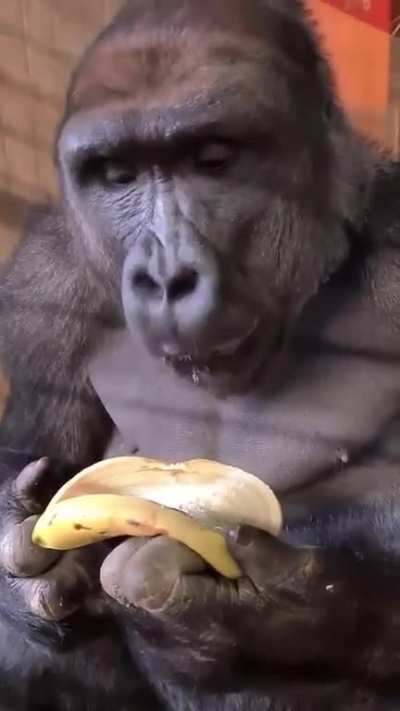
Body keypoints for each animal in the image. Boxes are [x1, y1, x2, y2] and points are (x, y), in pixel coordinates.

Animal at [0, 0, 400, 708]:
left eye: (212, 158)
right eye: (118, 175)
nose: (167, 277)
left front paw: (280, 612)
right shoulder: (40, 287)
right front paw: (30, 576)